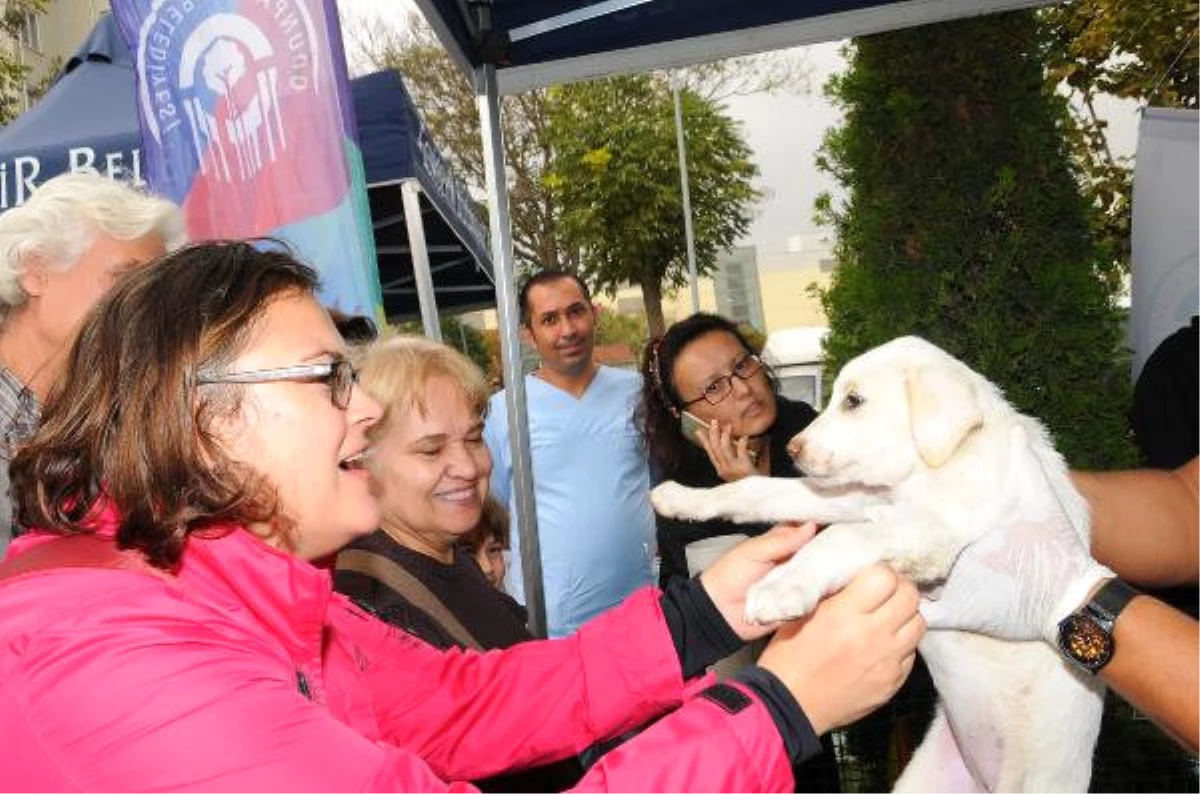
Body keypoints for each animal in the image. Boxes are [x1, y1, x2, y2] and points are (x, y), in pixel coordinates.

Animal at [657, 338, 1104, 794]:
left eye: (853, 401)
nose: (791, 450)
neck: (928, 468)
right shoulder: (857, 499)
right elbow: (757, 489)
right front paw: (683, 498)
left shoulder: (931, 530)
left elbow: (843, 537)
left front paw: (783, 587)